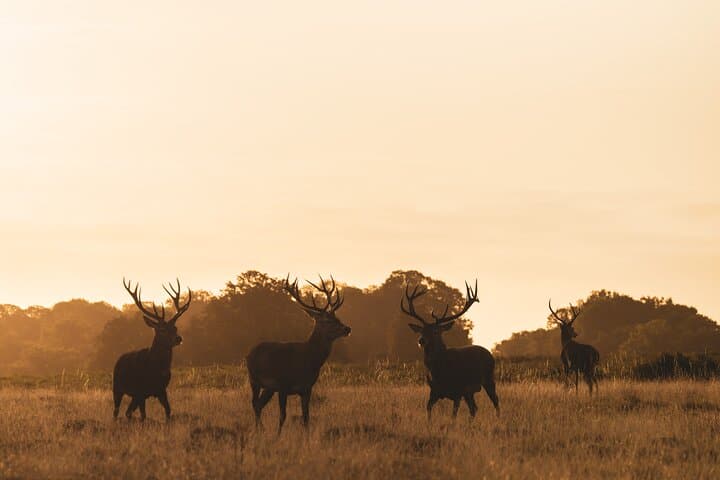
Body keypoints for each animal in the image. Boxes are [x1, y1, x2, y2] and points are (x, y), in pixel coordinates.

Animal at [113, 278, 191, 421]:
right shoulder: (140, 391)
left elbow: (168, 411)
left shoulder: (161, 390)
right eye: (162, 329)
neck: (155, 369)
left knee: (128, 412)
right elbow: (143, 415)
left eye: (175, 328)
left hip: (133, 395)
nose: (178, 338)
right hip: (117, 387)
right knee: (117, 412)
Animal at [246, 275, 351, 434]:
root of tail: (249, 353)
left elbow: (306, 417)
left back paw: (261, 430)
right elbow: (283, 416)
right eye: (327, 320)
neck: (307, 360)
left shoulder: (307, 388)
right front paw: (278, 436)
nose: (347, 328)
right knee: (254, 403)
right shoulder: (282, 385)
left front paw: (306, 437)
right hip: (254, 380)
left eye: (337, 318)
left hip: (269, 388)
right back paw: (259, 430)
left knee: (258, 405)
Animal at [402, 280, 499, 421]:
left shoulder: (457, 391)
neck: (440, 372)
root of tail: (490, 354)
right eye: (422, 331)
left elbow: (453, 416)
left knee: (495, 401)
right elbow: (428, 411)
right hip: (469, 392)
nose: (421, 340)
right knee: (474, 408)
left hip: (488, 378)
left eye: (436, 331)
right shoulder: (434, 391)